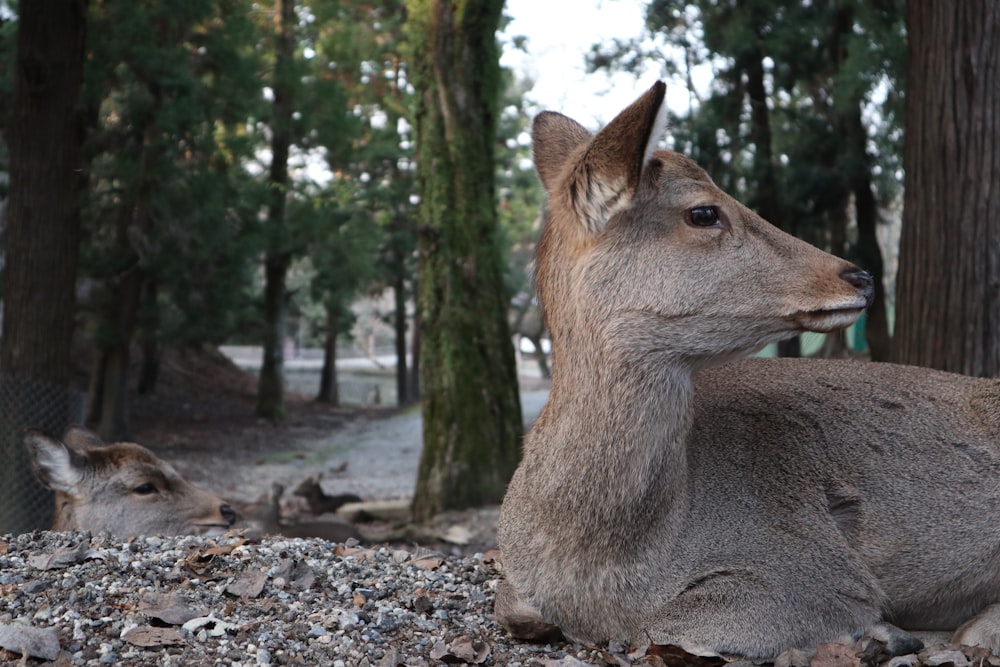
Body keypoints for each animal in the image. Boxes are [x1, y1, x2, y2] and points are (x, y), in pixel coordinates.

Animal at [498, 81, 1000, 660]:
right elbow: (514, 609)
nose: (861, 277)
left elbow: (663, 626)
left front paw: (883, 631)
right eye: (703, 213)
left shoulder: (810, 566)